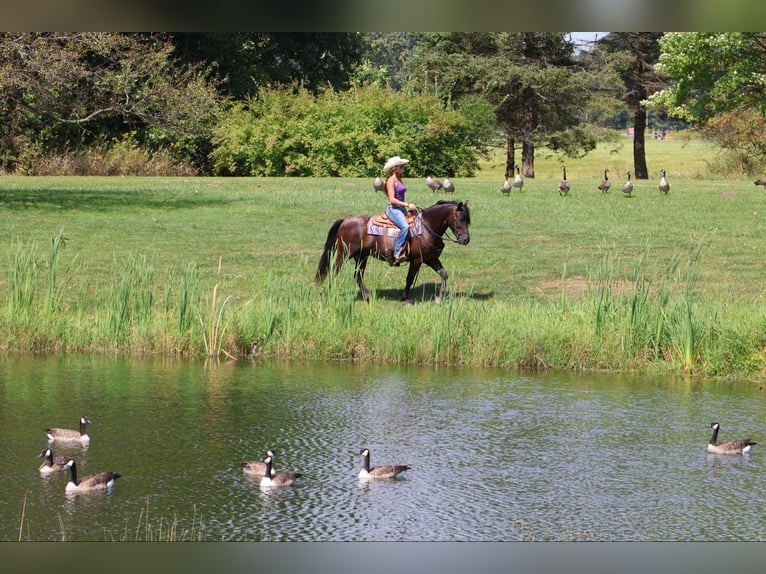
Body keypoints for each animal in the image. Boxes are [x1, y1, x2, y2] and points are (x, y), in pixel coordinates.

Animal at [316, 200, 472, 304]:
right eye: (461, 217)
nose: (465, 239)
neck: (426, 228)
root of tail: (344, 222)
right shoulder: (417, 260)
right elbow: (409, 279)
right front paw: (406, 299)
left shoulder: (431, 258)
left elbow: (444, 274)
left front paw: (439, 299)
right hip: (343, 254)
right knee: (333, 271)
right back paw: (324, 295)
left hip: (361, 256)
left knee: (357, 275)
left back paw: (367, 296)